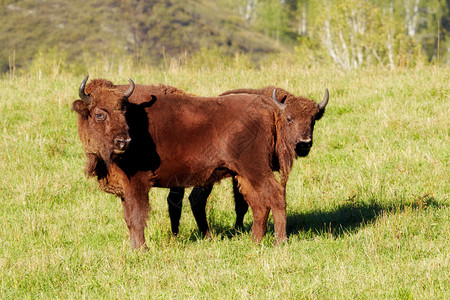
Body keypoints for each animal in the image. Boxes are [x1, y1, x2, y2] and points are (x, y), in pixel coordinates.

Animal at [72, 75, 298, 248]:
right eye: (99, 114)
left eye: (124, 112)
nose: (123, 141)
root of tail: (267, 105)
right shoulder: (124, 188)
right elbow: (128, 218)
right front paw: (133, 248)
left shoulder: (136, 183)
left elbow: (137, 217)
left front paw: (140, 249)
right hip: (243, 175)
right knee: (259, 205)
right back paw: (254, 242)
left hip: (256, 170)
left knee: (276, 195)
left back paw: (279, 242)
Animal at [165, 87, 326, 239]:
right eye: (289, 118)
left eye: (313, 120)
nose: (304, 143)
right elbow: (241, 203)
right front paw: (239, 228)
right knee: (191, 199)